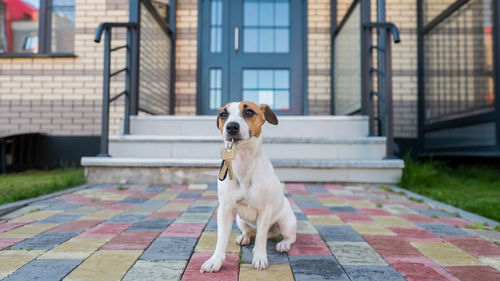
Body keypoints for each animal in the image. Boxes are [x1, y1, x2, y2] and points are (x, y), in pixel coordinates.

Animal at [200, 100, 296, 272]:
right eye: (223, 114)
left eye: (249, 112)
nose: (231, 127)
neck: (243, 161)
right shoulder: (224, 210)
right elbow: (221, 239)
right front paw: (215, 260)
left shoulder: (265, 210)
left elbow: (261, 238)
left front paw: (260, 257)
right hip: (240, 219)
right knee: (250, 232)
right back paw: (244, 237)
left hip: (286, 221)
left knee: (288, 237)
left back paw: (283, 243)